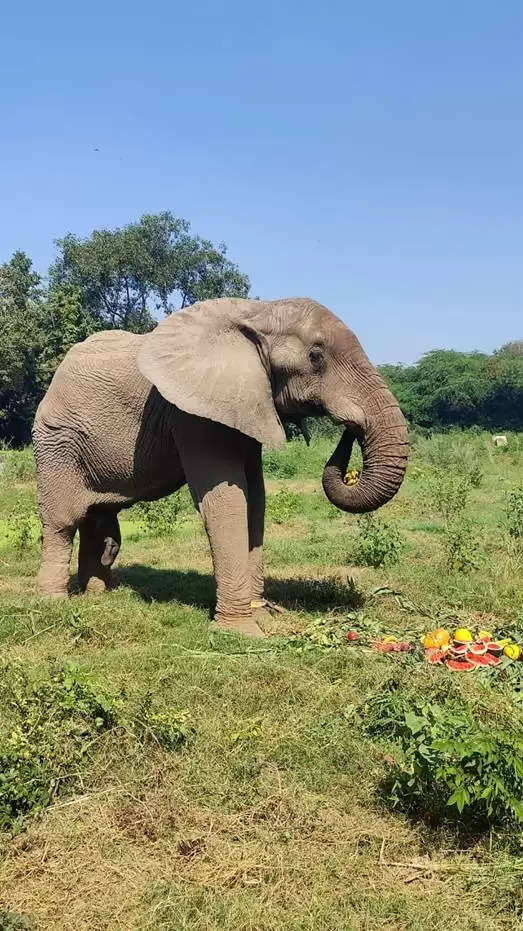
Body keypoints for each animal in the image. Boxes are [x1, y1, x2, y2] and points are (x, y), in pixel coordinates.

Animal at [32, 294, 410, 636]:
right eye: (315, 356)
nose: (350, 427)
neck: (258, 311)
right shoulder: (193, 416)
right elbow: (227, 499)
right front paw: (242, 631)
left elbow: (255, 499)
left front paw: (263, 616)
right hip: (56, 441)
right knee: (63, 520)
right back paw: (53, 601)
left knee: (97, 518)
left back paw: (97, 595)